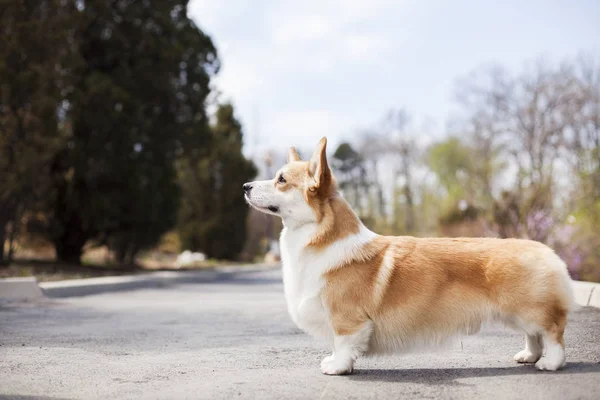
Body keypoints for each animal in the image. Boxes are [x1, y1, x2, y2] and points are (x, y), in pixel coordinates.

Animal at [241, 138, 576, 376]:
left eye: (281, 180)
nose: (245, 185)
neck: (320, 237)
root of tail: (544, 249)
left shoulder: (346, 319)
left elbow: (343, 343)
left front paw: (338, 367)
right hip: (518, 313)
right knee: (534, 336)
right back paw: (528, 356)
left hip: (531, 309)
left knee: (553, 333)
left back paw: (550, 363)